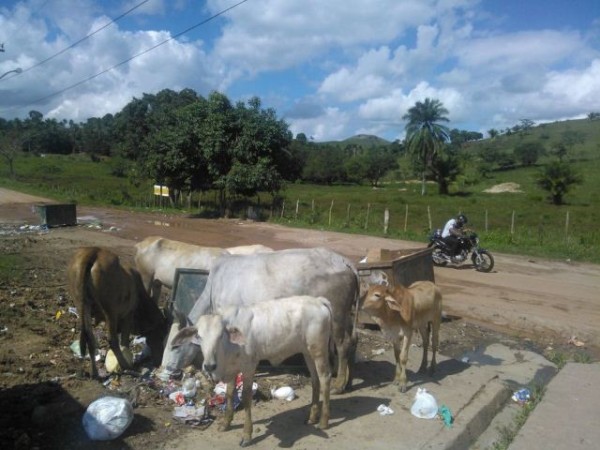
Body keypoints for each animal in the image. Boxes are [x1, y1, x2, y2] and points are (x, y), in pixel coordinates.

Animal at [67, 248, 166, 378]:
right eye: (160, 334)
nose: (158, 360)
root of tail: (94, 251)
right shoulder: (129, 314)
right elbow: (124, 341)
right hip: (111, 312)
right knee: (112, 340)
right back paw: (125, 365)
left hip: (81, 306)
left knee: (89, 339)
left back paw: (95, 373)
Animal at [171, 296, 332, 446]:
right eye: (199, 336)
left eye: (220, 335)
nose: (209, 366)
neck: (227, 350)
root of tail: (318, 300)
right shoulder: (232, 369)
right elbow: (229, 394)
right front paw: (226, 423)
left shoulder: (249, 367)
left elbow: (246, 398)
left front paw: (247, 435)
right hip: (307, 352)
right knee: (315, 380)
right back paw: (312, 417)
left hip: (319, 351)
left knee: (325, 378)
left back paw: (323, 421)